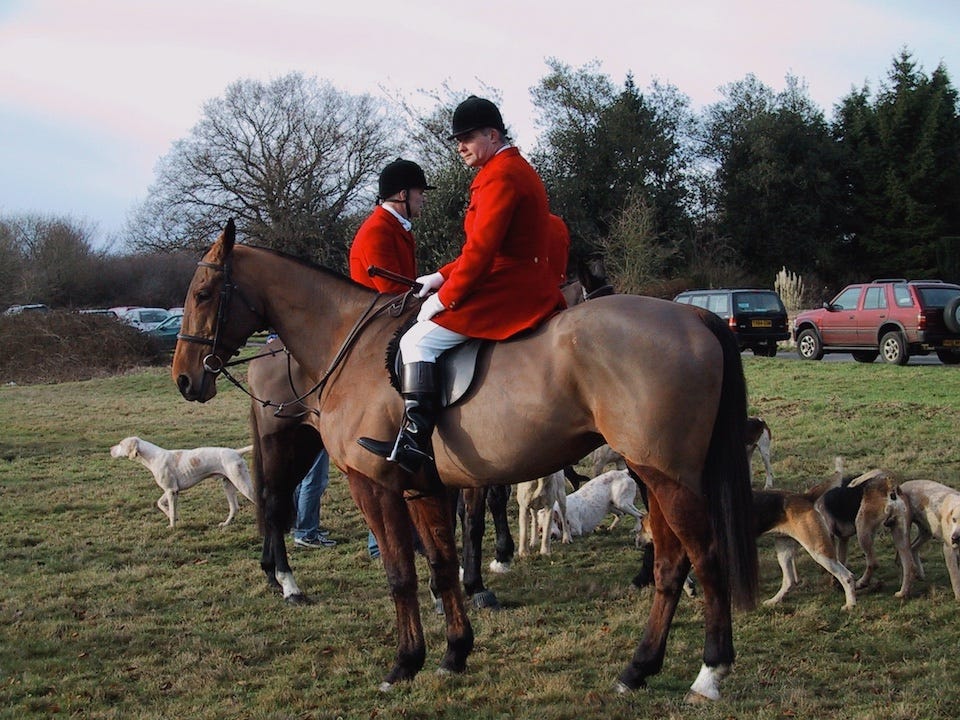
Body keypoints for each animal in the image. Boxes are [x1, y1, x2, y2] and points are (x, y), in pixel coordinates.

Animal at [172, 221, 756, 704]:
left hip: (665, 477)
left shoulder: (374, 485)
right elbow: (440, 562)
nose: (185, 378)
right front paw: (454, 652)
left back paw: (709, 673)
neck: (347, 345)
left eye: (202, 293)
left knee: (701, 558)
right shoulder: (425, 485)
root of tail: (693, 314)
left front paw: (405, 663)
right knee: (670, 562)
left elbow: (402, 572)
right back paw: (638, 669)